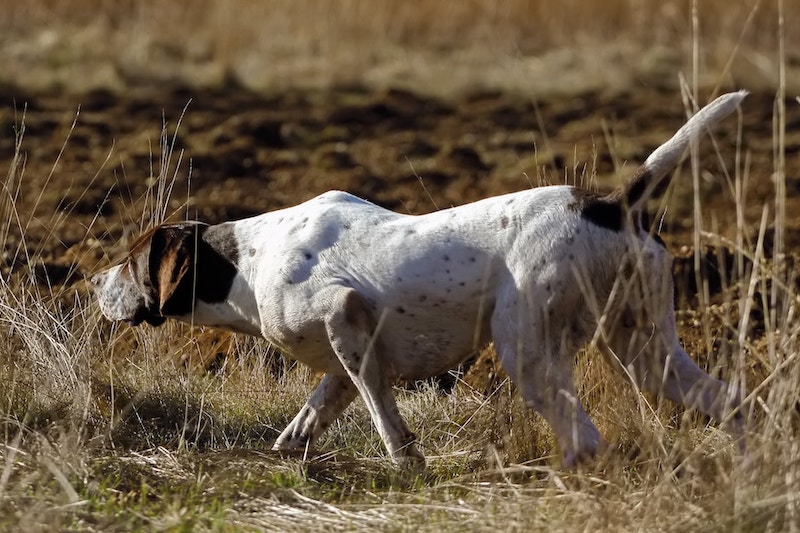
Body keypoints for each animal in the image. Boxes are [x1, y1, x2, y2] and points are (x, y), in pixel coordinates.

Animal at [94, 93, 752, 468]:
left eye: (129, 260)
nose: (93, 283)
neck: (246, 267)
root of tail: (613, 204)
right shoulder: (341, 360)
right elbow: (310, 416)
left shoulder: (344, 314)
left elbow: (384, 414)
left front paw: (405, 464)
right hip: (647, 349)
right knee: (728, 402)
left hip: (529, 351)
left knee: (585, 440)